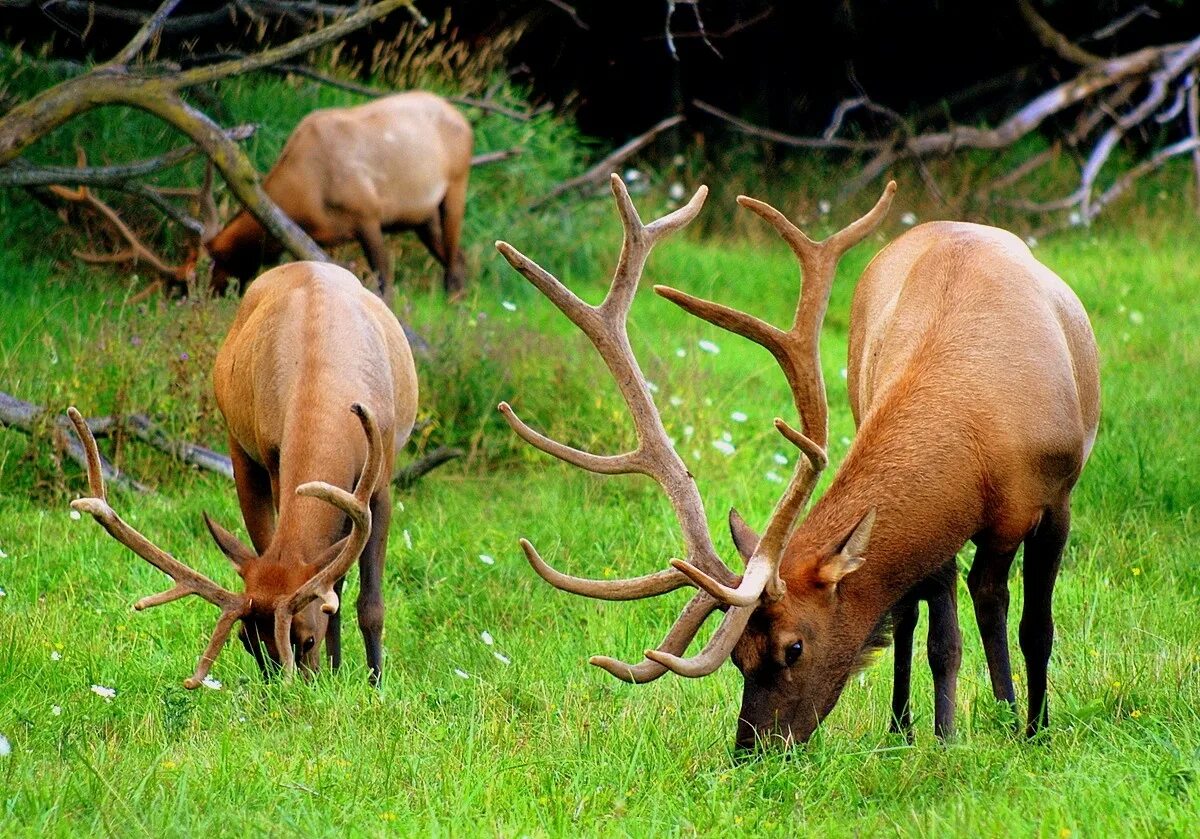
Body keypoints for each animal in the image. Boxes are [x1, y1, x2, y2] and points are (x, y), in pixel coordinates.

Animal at [70, 264, 420, 691]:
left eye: (306, 639)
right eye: (246, 641)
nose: (292, 692)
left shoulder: (381, 481)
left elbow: (369, 604)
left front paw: (376, 687)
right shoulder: (273, 456)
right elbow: (326, 587)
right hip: (239, 448)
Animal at [494, 174, 1099, 753]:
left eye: (794, 647)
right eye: (739, 656)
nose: (753, 749)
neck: (987, 432)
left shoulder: (1060, 495)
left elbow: (1036, 627)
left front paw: (1036, 731)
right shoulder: (945, 521)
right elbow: (939, 638)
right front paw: (946, 738)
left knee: (991, 594)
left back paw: (1011, 714)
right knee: (946, 604)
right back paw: (910, 727)